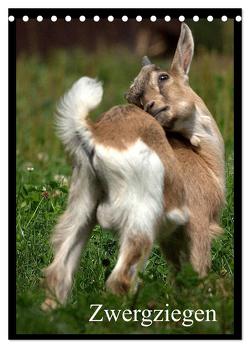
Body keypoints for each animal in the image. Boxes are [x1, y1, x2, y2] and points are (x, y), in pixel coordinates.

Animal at [41, 23, 225, 310]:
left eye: (163, 77)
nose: (150, 105)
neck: (204, 161)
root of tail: (94, 133)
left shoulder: (170, 237)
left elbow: (179, 276)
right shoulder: (198, 222)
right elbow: (198, 272)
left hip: (81, 203)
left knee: (58, 271)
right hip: (141, 216)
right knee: (120, 280)